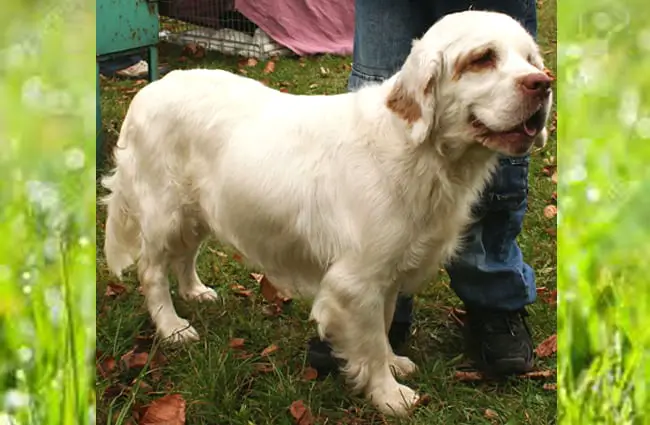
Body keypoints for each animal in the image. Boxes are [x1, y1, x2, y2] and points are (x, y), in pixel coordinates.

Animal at [104, 10, 548, 418]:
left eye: (530, 58)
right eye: (482, 58)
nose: (542, 84)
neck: (418, 151)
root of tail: (151, 89)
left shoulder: (387, 274)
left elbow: (385, 324)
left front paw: (393, 364)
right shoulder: (357, 281)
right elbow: (370, 341)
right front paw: (388, 394)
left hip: (198, 210)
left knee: (185, 255)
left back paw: (196, 291)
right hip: (165, 213)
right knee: (152, 272)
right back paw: (172, 327)